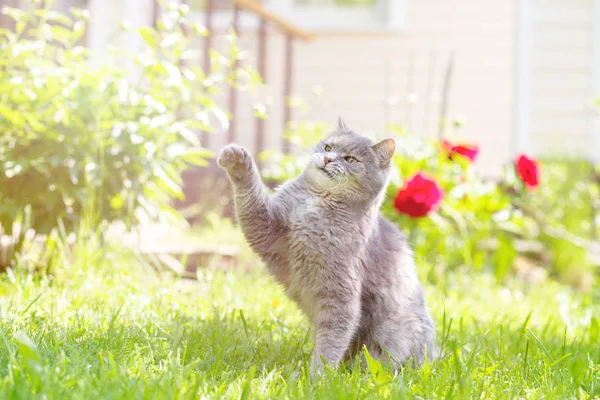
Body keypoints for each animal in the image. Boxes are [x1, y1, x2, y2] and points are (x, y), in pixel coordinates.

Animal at [218, 115, 438, 376]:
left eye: (351, 159)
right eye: (328, 147)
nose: (327, 158)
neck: (317, 202)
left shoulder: (340, 294)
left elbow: (330, 344)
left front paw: (318, 378)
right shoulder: (267, 229)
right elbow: (251, 198)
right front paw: (235, 160)